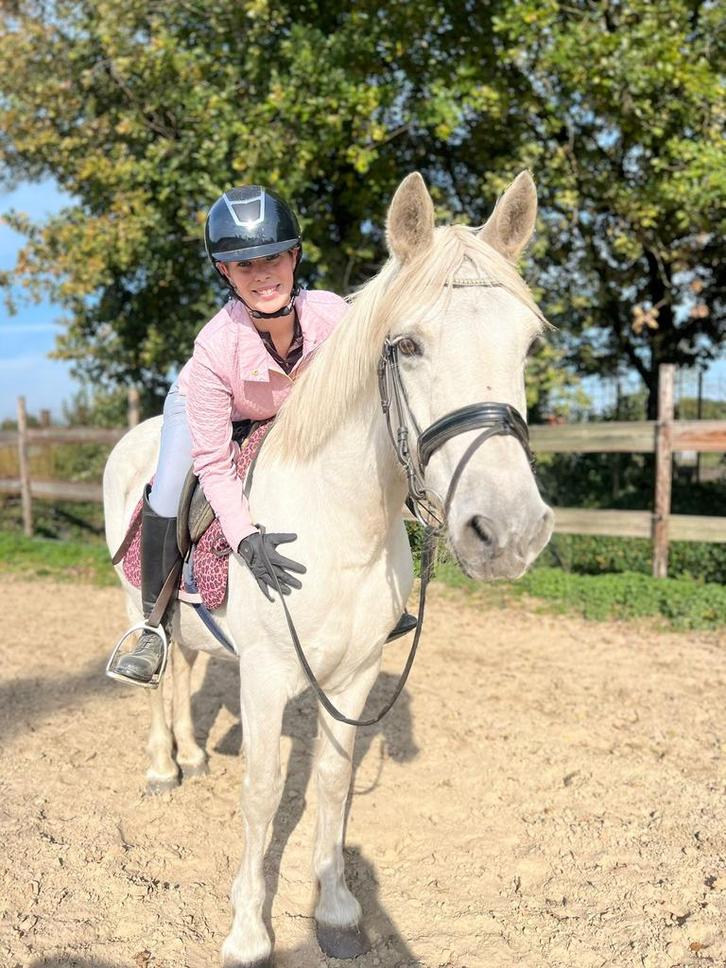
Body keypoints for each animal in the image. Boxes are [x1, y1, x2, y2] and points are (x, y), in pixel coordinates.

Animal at [103, 170, 554, 967]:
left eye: (527, 343)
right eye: (407, 345)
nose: (507, 531)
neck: (340, 527)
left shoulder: (353, 675)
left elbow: (332, 781)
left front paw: (337, 911)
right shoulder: (265, 678)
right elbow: (262, 791)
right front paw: (249, 932)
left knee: (181, 667)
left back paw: (192, 756)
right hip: (137, 604)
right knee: (153, 677)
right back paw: (163, 767)